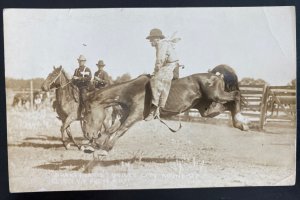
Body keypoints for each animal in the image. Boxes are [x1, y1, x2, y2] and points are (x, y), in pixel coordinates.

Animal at [82, 65, 251, 155]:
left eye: (87, 112)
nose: (89, 134)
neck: (132, 91)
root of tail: (217, 75)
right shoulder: (124, 115)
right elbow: (110, 129)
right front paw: (94, 145)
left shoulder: (134, 115)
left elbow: (119, 130)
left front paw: (104, 149)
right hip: (208, 109)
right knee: (229, 105)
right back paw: (241, 124)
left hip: (217, 95)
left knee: (236, 96)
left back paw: (241, 121)